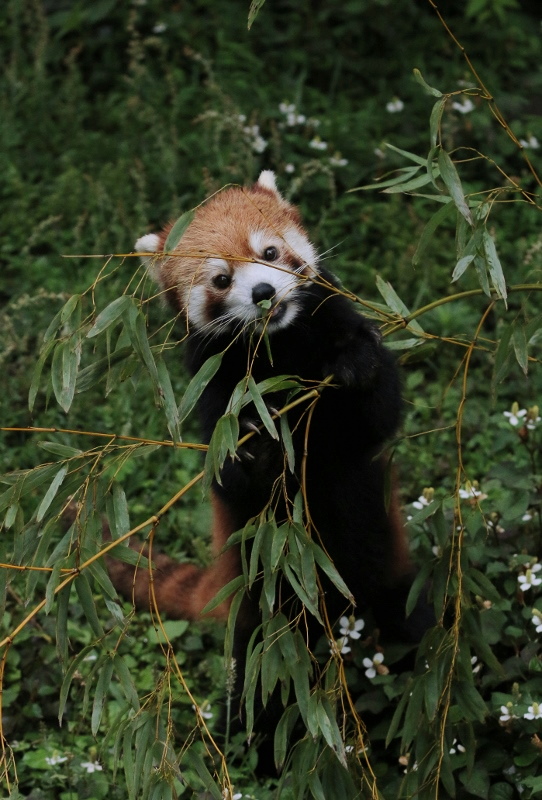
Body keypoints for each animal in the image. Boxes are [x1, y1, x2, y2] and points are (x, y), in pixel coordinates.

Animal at [109, 167, 434, 744]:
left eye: (270, 252)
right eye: (221, 280)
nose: (262, 292)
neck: (281, 348)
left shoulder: (338, 334)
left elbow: (377, 413)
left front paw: (356, 363)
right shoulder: (216, 388)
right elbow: (230, 474)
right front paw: (254, 445)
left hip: (395, 584)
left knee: (411, 636)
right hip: (264, 624)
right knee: (264, 689)